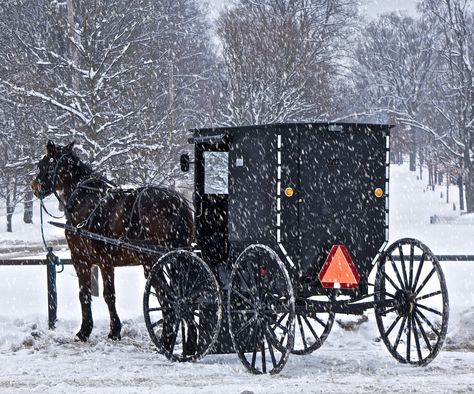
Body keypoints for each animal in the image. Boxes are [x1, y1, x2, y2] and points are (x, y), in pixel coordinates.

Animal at [31, 141, 194, 342]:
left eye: (43, 164)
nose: (34, 186)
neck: (84, 199)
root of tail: (177, 203)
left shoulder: (84, 259)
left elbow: (88, 294)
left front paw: (87, 330)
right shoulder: (105, 261)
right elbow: (108, 295)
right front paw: (113, 330)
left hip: (152, 262)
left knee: (168, 299)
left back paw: (166, 339)